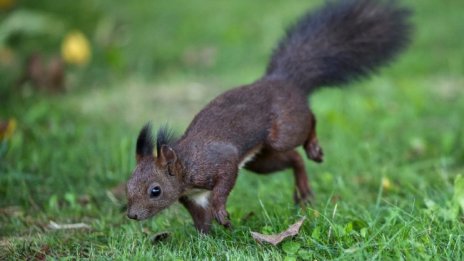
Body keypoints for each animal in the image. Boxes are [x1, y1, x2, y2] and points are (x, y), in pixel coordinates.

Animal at [125, 0, 412, 232]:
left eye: (155, 190)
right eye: (127, 186)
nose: (132, 215)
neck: (185, 164)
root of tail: (282, 79)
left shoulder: (219, 161)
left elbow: (222, 186)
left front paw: (220, 213)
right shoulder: (192, 195)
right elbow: (199, 216)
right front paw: (204, 237)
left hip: (284, 130)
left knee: (309, 122)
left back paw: (314, 147)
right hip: (261, 161)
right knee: (294, 159)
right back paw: (303, 191)